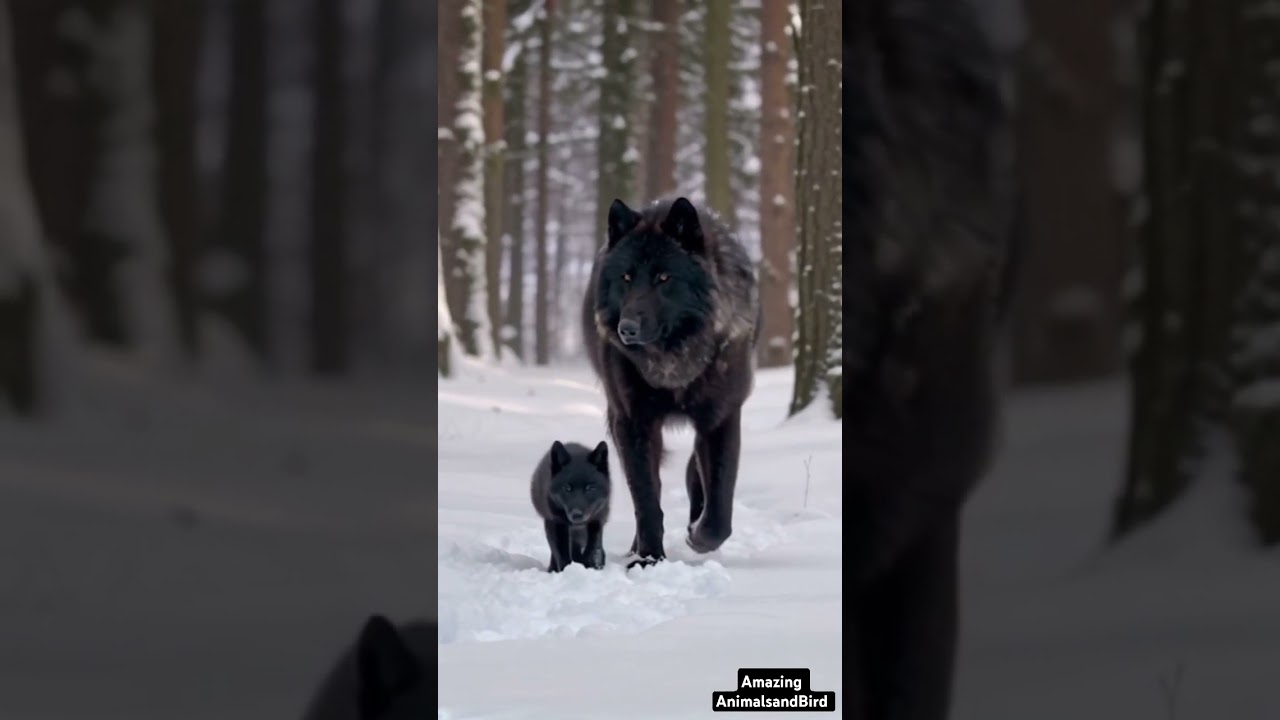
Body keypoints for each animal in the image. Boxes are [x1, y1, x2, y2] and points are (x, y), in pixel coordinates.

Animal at [530, 440, 612, 572]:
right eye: (567, 487)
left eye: (590, 488)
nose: (577, 514)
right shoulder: (557, 524)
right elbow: (562, 555)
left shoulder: (597, 520)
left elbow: (593, 547)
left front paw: (590, 565)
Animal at [581, 196, 760, 567]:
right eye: (626, 277)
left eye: (664, 277)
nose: (627, 329)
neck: (674, 359)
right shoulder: (633, 422)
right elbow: (647, 500)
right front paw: (647, 559)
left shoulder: (721, 418)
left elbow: (720, 507)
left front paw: (700, 537)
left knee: (697, 473)